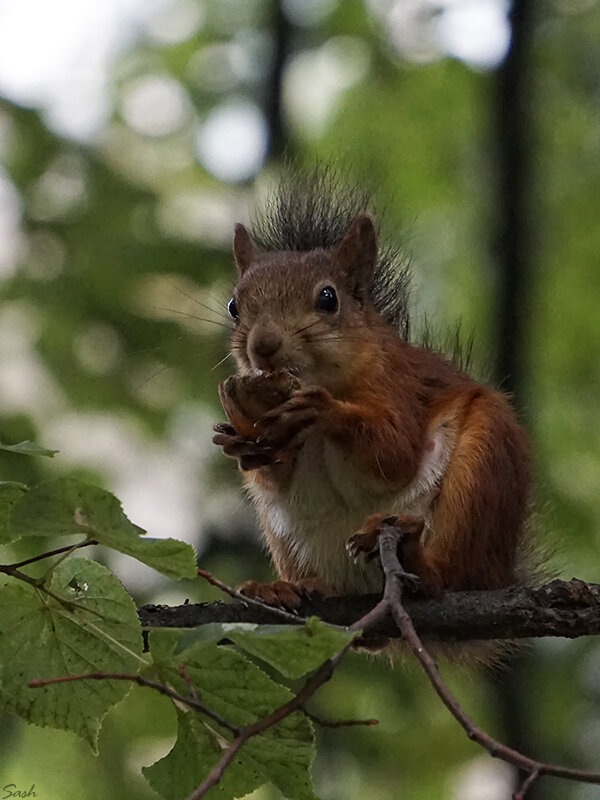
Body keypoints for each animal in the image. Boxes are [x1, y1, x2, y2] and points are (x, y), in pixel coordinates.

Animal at [212, 175, 528, 608]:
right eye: (233, 306)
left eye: (328, 298)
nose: (263, 345)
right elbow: (272, 474)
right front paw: (241, 444)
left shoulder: (400, 385)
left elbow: (395, 453)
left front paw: (325, 411)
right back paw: (288, 587)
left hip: (483, 469)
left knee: (454, 574)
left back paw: (422, 567)